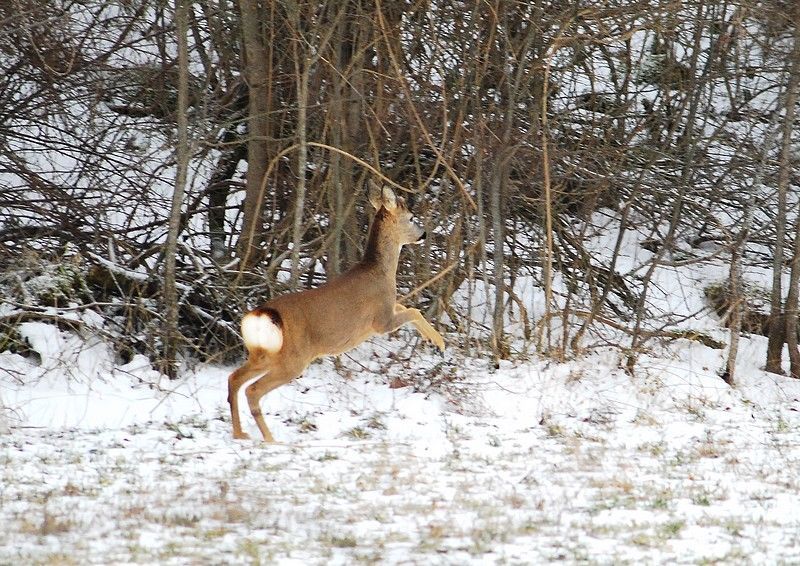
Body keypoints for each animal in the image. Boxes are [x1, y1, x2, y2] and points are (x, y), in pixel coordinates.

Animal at [228, 184, 446, 442]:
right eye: (411, 217)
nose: (424, 234)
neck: (381, 271)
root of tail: (262, 316)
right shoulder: (380, 320)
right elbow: (413, 310)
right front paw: (440, 342)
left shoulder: (388, 309)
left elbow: (406, 306)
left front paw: (433, 340)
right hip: (293, 358)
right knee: (253, 389)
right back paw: (270, 440)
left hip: (263, 354)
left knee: (234, 379)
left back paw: (240, 433)